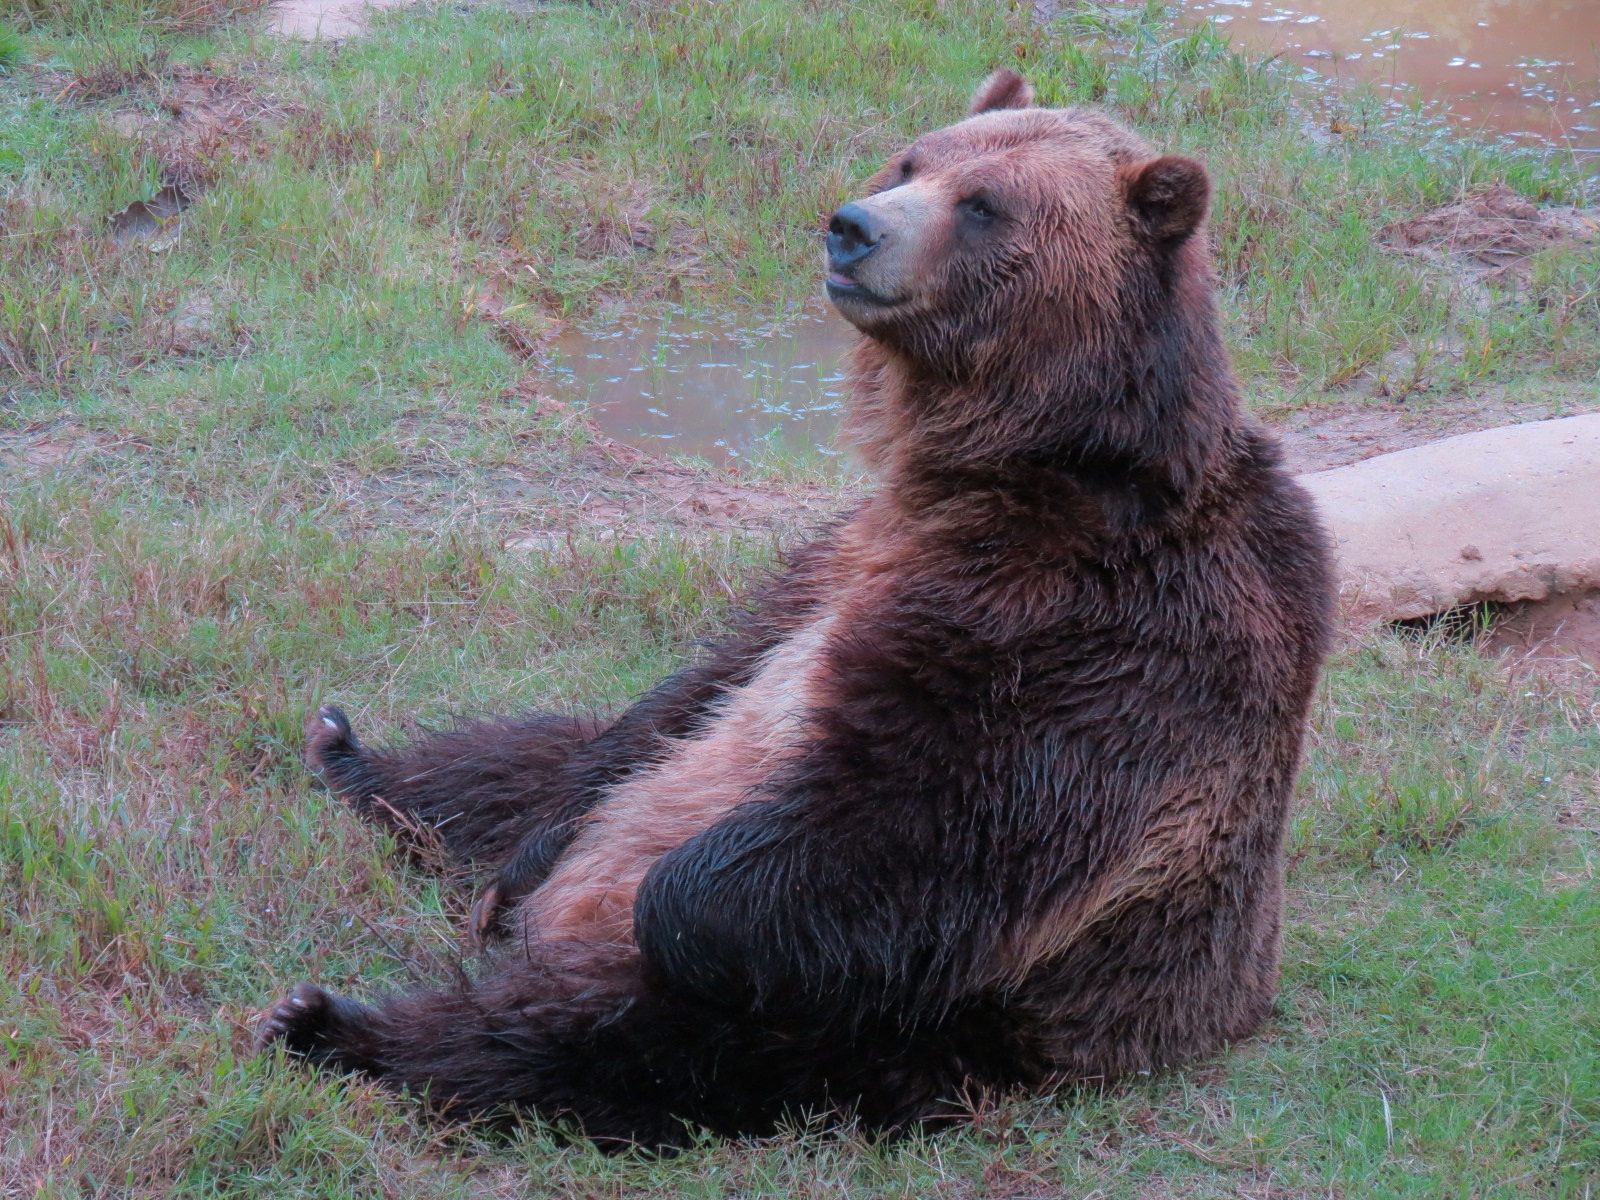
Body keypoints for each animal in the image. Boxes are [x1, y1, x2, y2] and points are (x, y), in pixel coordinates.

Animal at [257, 70, 1333, 1148]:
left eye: (984, 204)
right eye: (910, 160)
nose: (851, 227)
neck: (1015, 466)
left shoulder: (1096, 626)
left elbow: (935, 817)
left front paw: (660, 901)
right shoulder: (840, 558)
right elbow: (690, 694)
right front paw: (522, 859)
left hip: (896, 1028)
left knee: (598, 1048)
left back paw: (335, 1024)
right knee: (528, 756)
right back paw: (352, 755)